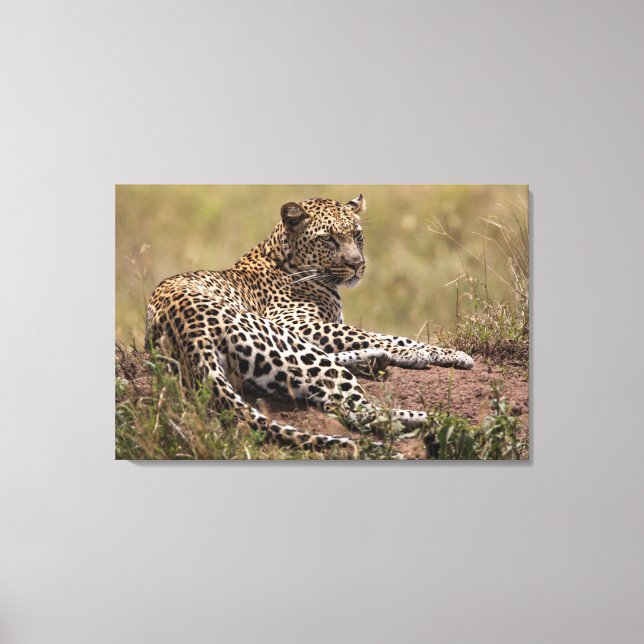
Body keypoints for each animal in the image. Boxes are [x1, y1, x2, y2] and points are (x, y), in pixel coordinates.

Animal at [145, 195, 473, 456]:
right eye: (328, 238)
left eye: (357, 235)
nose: (357, 264)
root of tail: (189, 331)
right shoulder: (297, 323)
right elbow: (375, 334)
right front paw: (428, 353)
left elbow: (374, 335)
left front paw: (442, 354)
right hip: (280, 339)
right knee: (359, 412)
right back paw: (438, 419)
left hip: (274, 364)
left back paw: (375, 361)